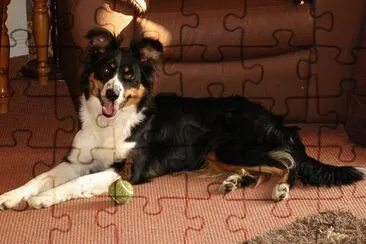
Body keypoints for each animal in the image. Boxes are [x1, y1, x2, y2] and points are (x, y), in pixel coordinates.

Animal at [0, 27, 366, 210]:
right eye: (105, 70)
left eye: (130, 77)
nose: (112, 94)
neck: (111, 123)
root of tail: (278, 121)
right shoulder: (77, 159)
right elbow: (44, 176)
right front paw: (13, 195)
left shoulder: (129, 169)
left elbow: (75, 184)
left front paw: (41, 200)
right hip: (219, 153)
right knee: (269, 165)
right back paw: (235, 182)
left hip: (229, 146)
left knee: (287, 163)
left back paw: (281, 190)